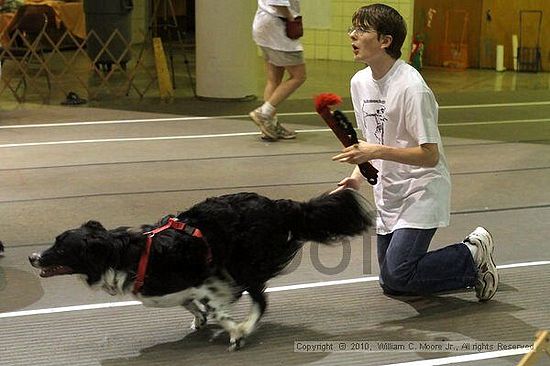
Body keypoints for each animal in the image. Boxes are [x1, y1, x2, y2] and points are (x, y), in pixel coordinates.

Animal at [30, 190, 376, 350]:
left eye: (61, 246)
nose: (32, 257)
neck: (126, 253)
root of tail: (278, 204)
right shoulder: (183, 286)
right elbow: (191, 304)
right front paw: (200, 318)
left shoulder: (205, 277)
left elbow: (219, 308)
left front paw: (234, 329)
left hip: (243, 264)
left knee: (261, 299)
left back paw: (245, 328)